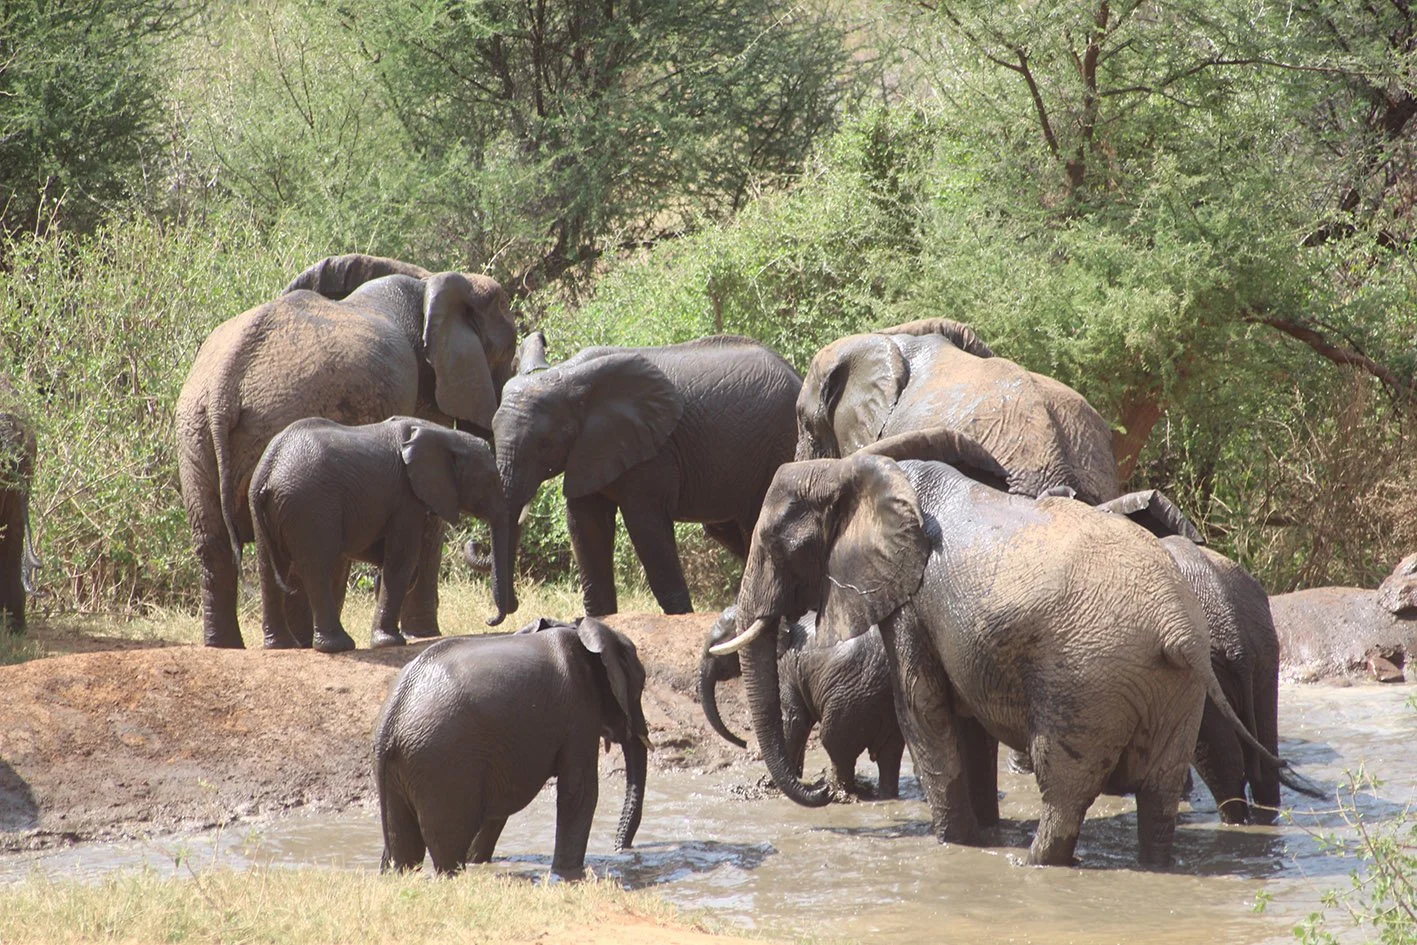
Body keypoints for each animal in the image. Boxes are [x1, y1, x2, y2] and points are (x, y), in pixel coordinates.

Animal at [249, 417, 512, 653]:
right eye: (490, 481)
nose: (490, 620)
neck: (445, 434)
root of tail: (269, 466)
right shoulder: (406, 497)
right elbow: (402, 559)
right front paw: (389, 642)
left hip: (268, 509)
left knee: (269, 568)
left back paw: (281, 646)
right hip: (310, 504)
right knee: (317, 567)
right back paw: (338, 646)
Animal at [374, 616, 649, 878]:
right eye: (641, 685)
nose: (623, 851)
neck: (579, 631)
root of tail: (391, 718)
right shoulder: (579, 711)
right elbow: (580, 793)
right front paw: (569, 875)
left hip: (407, 767)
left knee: (404, 846)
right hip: (441, 763)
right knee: (447, 847)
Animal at [493, 335, 802, 617]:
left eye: (544, 444)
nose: (506, 610)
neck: (567, 377)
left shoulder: (653, 452)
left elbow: (646, 526)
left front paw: (679, 618)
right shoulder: (587, 451)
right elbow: (586, 525)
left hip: (779, 444)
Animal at [699, 606, 904, 799]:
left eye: (717, 648)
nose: (743, 743)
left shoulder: (785, 667)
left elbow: (793, 720)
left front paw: (770, 785)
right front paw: (794, 777)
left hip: (853, 696)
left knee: (836, 745)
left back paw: (835, 792)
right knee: (890, 753)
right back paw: (885, 795)